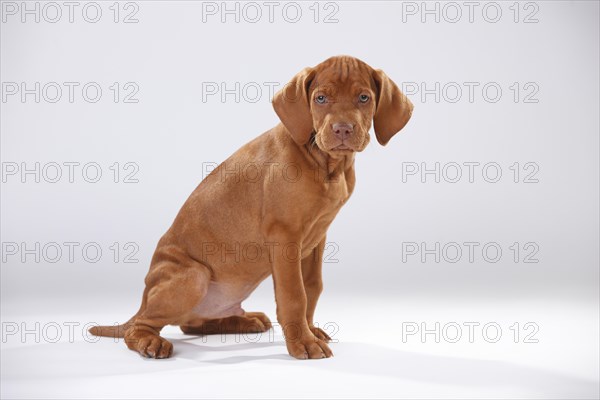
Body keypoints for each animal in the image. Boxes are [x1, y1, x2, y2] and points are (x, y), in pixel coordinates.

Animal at [89, 55, 412, 360]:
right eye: (320, 98)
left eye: (364, 98)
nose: (342, 129)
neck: (326, 164)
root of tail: (143, 297)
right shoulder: (285, 235)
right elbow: (294, 294)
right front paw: (303, 342)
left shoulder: (316, 238)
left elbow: (312, 286)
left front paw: (310, 330)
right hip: (193, 276)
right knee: (140, 326)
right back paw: (150, 342)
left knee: (189, 323)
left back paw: (244, 320)